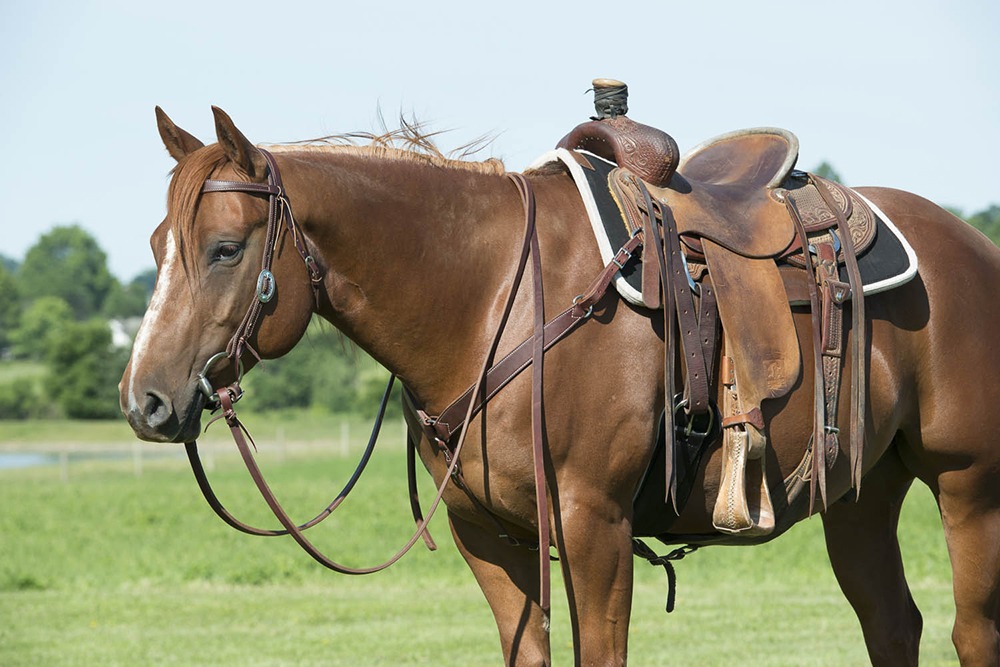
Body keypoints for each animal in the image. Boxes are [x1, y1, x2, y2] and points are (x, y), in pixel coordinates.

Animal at [120, 105, 1000, 666]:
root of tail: (974, 246)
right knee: (893, 625)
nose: (144, 401)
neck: (485, 302)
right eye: (160, 243)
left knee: (970, 633)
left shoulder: (593, 524)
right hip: (860, 491)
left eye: (226, 248)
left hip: (967, 487)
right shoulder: (488, 537)